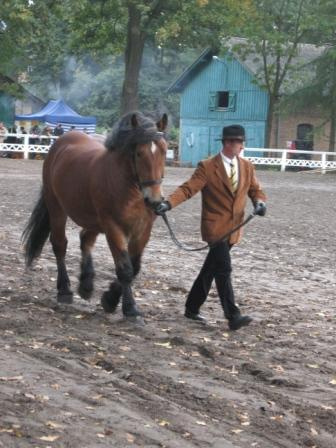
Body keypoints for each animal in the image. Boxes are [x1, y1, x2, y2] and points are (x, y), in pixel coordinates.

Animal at [23, 112, 167, 322]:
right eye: (139, 153)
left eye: (164, 151)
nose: (155, 200)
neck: (130, 189)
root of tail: (63, 140)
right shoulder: (113, 227)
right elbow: (125, 269)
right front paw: (129, 308)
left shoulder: (143, 230)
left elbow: (135, 267)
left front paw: (110, 298)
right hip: (56, 207)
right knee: (60, 244)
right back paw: (64, 290)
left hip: (94, 220)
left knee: (85, 239)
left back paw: (86, 284)